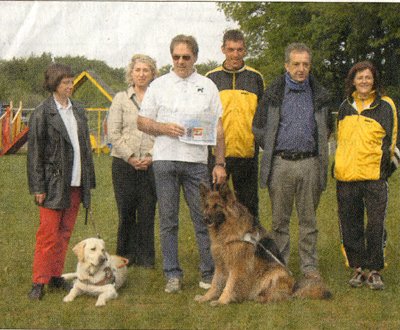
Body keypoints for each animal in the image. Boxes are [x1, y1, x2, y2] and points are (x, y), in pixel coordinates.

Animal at [196, 182, 332, 306]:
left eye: (217, 206)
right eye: (207, 206)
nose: (205, 219)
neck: (227, 230)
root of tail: (293, 289)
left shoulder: (237, 266)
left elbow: (229, 284)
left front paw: (222, 301)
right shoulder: (220, 264)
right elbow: (215, 283)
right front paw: (206, 297)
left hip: (275, 273)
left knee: (279, 297)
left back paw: (262, 298)